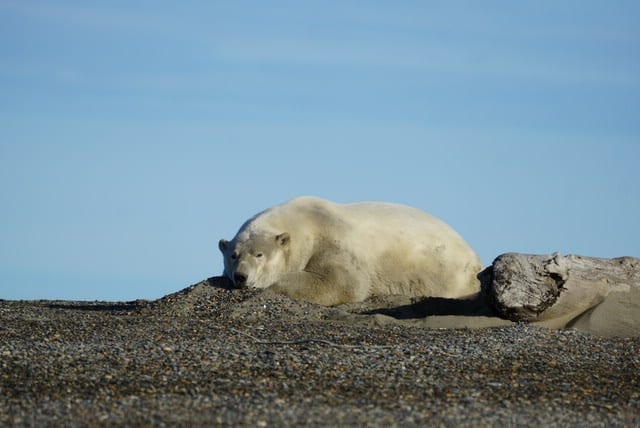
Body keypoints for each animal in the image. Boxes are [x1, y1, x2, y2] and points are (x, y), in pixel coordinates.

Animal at [218, 196, 482, 306]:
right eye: (233, 255)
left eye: (259, 254)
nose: (241, 276)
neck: (304, 223)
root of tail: (474, 255)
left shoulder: (331, 239)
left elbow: (341, 281)